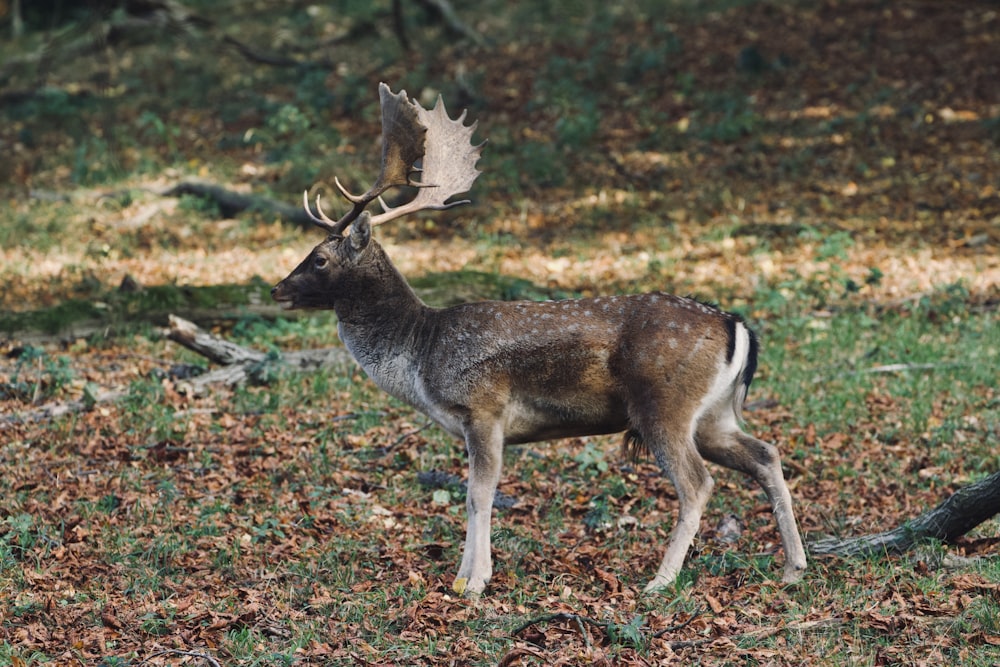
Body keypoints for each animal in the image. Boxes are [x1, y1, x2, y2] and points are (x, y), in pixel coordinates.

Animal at [270, 81, 808, 596]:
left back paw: (661, 581)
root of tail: (737, 326)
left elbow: (478, 494)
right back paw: (793, 568)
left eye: (319, 258)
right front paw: (463, 577)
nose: (276, 289)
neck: (421, 352)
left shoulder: (483, 409)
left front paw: (474, 581)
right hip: (713, 414)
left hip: (664, 406)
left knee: (698, 483)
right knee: (765, 454)